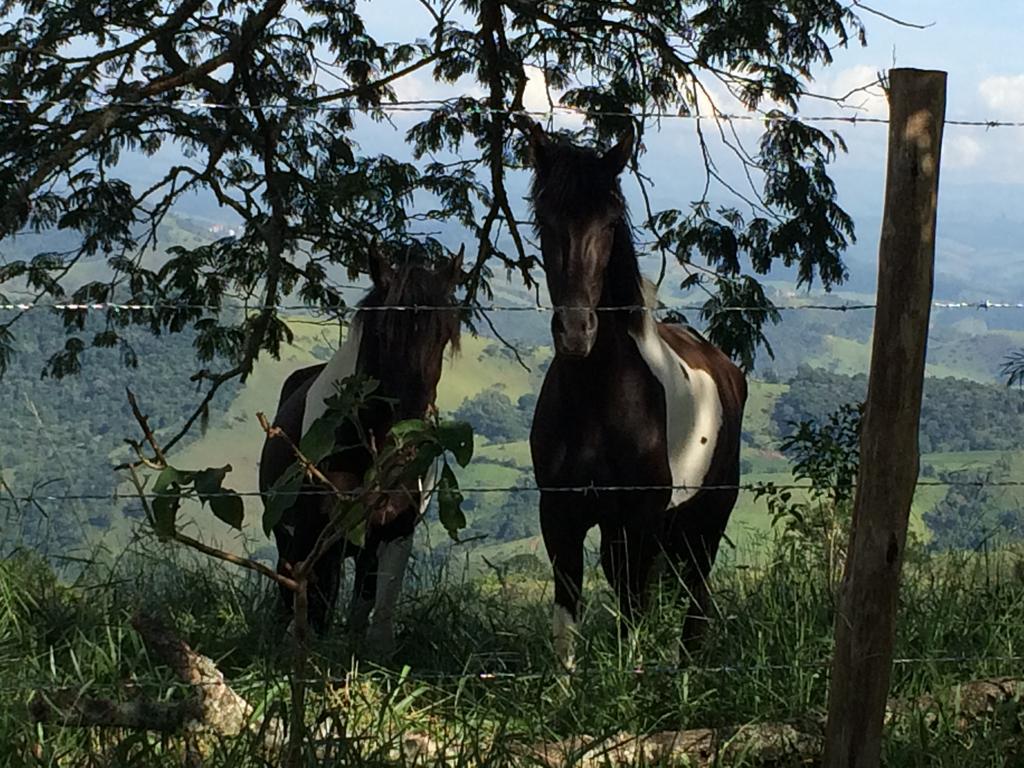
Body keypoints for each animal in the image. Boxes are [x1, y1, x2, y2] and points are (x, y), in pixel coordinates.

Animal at [258, 246, 462, 655]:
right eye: (383, 333)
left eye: (444, 335)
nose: (410, 438)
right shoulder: (315, 535)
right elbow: (315, 611)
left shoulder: (395, 532)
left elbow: (378, 619)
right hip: (292, 539)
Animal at [524, 121, 749, 667]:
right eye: (544, 218)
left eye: (609, 223)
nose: (576, 332)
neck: (599, 402)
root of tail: (728, 369)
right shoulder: (560, 517)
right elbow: (567, 622)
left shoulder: (640, 523)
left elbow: (634, 615)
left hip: (707, 520)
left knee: (696, 601)